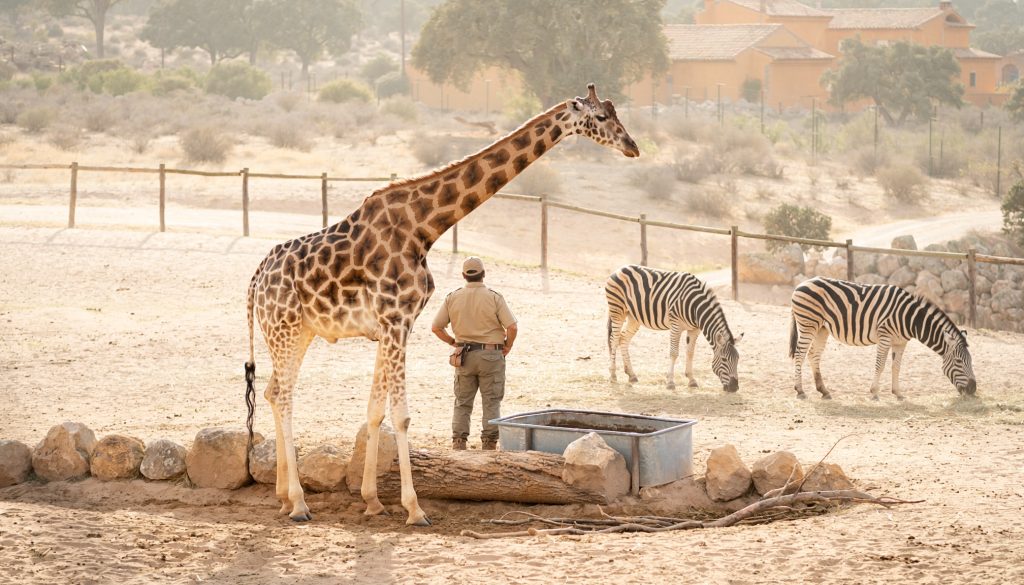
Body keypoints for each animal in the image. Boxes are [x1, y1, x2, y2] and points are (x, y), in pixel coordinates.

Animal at [244, 84, 640, 525]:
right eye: (601, 118)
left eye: (616, 114)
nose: (633, 147)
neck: (424, 227)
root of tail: (255, 281)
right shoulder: (396, 319)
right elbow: (401, 415)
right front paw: (415, 509)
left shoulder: (393, 325)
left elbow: (375, 412)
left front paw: (373, 501)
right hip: (284, 327)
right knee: (283, 394)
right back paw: (298, 503)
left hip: (301, 331)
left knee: (274, 391)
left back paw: (283, 497)